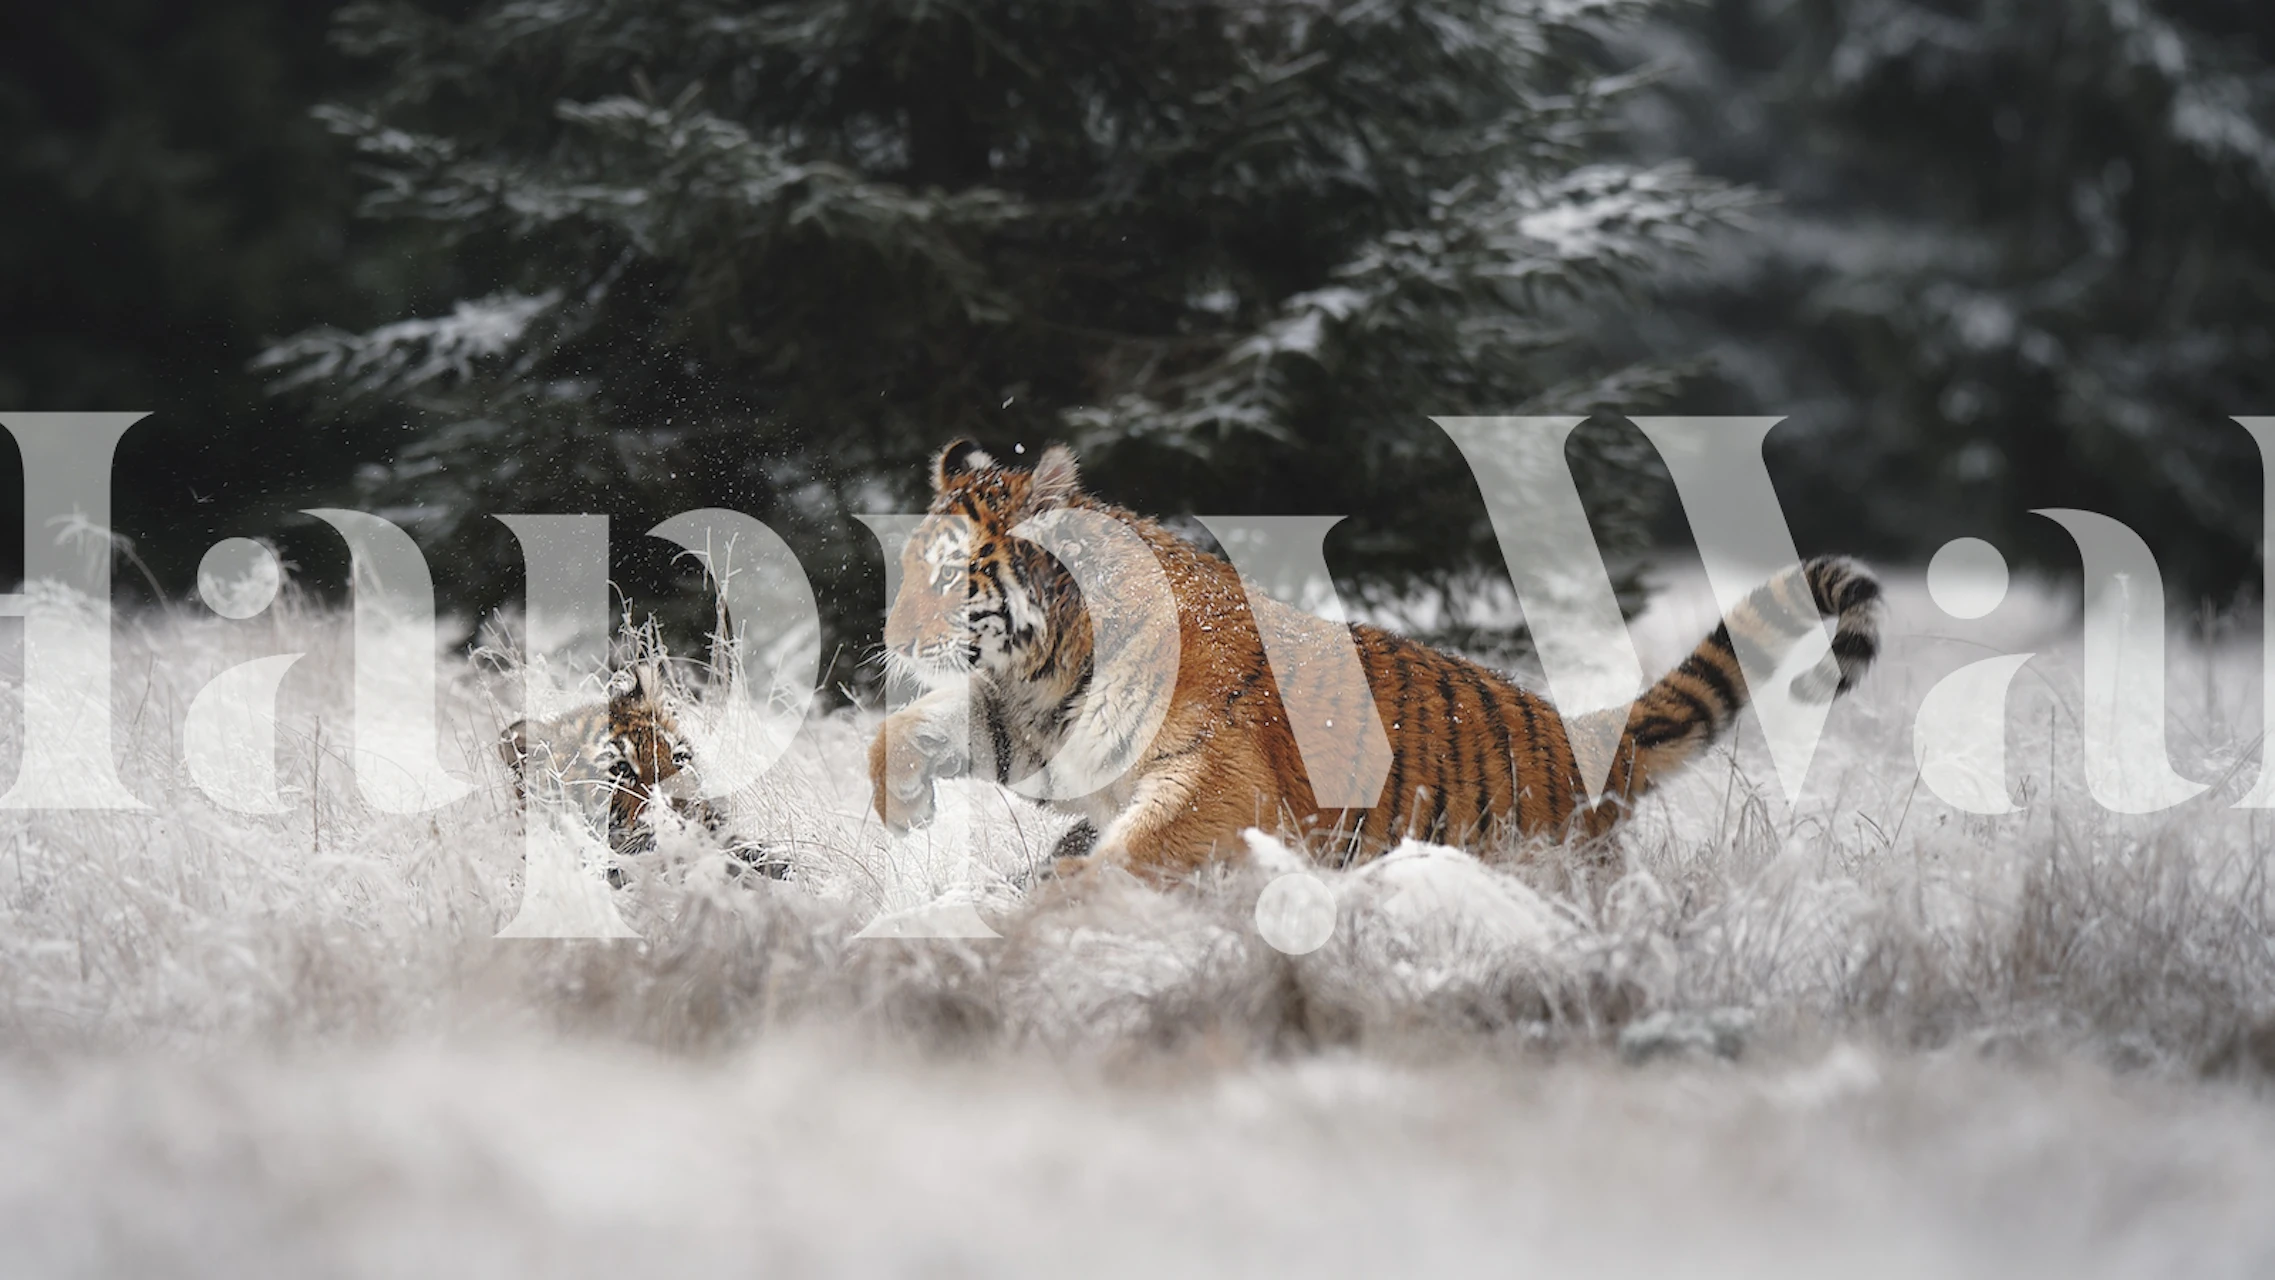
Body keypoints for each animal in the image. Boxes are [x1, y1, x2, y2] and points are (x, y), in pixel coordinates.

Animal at [868, 438, 1881, 883]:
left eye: (948, 576)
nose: (892, 637)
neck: (1052, 659)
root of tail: (1592, 734)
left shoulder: (1218, 776)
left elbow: (1145, 845)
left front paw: (1062, 896)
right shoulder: (1038, 725)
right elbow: (913, 725)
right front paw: (899, 808)